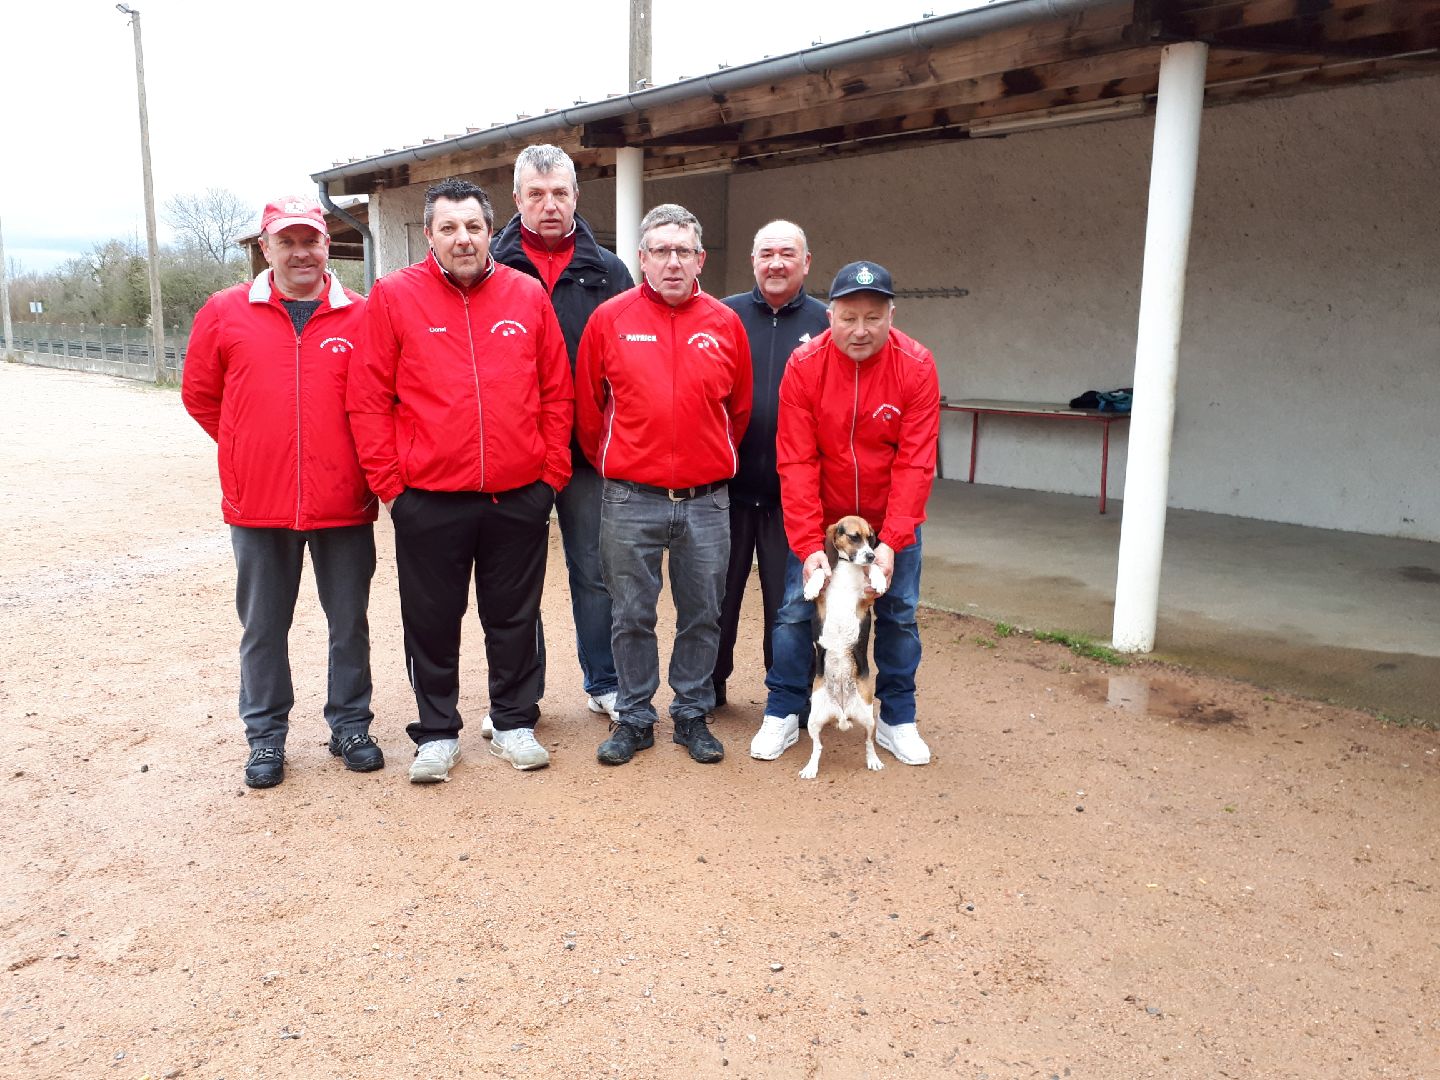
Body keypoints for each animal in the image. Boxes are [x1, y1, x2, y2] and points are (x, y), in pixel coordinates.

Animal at [800, 515, 887, 777]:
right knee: (817, 747)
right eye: (854, 537)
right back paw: (810, 768)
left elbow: (874, 573)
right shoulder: (822, 600)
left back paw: (874, 761)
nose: (870, 555)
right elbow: (820, 570)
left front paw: (880, 577)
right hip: (813, 720)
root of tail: (841, 711)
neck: (848, 567)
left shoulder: (865, 600)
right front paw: (810, 586)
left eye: (870, 537)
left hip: (868, 718)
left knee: (868, 743)